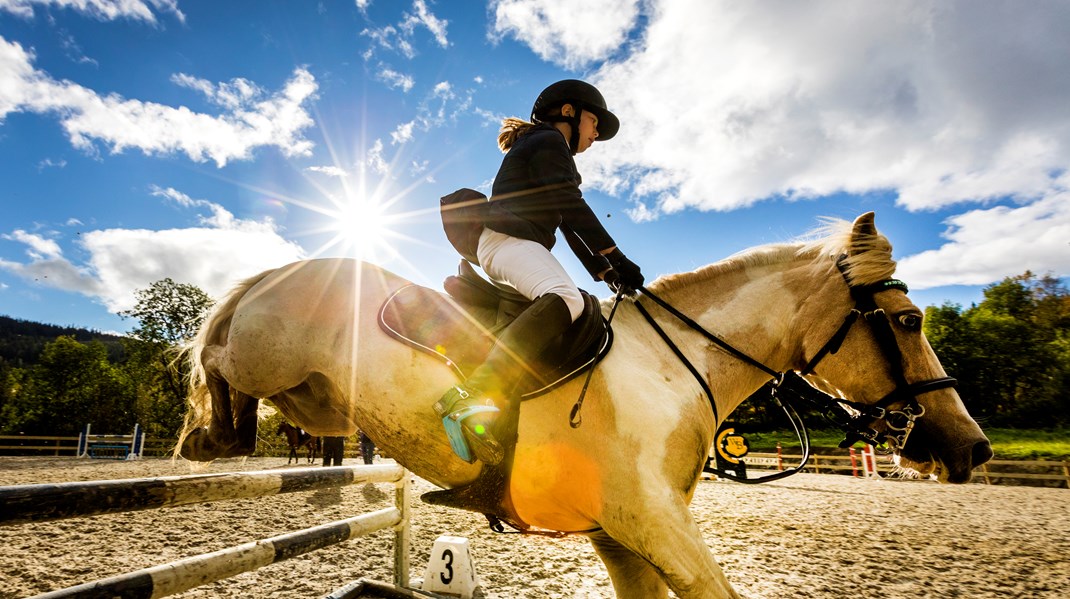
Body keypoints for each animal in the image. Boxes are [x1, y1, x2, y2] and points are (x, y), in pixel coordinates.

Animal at [177, 212, 992, 594]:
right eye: (909, 321)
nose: (972, 448)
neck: (672, 367)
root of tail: (281, 270)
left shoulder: (623, 536)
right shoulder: (653, 523)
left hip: (318, 400)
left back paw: (220, 435)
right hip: (268, 352)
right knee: (215, 356)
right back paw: (206, 438)